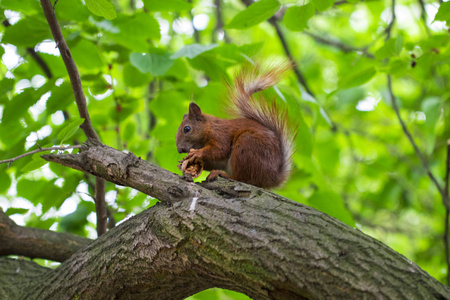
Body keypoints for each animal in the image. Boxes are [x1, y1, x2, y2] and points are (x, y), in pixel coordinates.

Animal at [176, 61, 296, 189]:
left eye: (187, 129)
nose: (180, 149)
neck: (209, 127)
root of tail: (272, 178)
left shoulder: (220, 135)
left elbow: (220, 150)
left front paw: (197, 153)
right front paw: (182, 162)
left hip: (246, 147)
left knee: (242, 179)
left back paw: (221, 174)